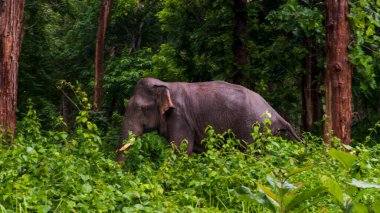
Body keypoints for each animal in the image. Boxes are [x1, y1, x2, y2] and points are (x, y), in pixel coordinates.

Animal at [117, 77, 302, 161]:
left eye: (141, 109)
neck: (165, 84)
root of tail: (276, 114)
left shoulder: (180, 118)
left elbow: (181, 149)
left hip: (253, 130)